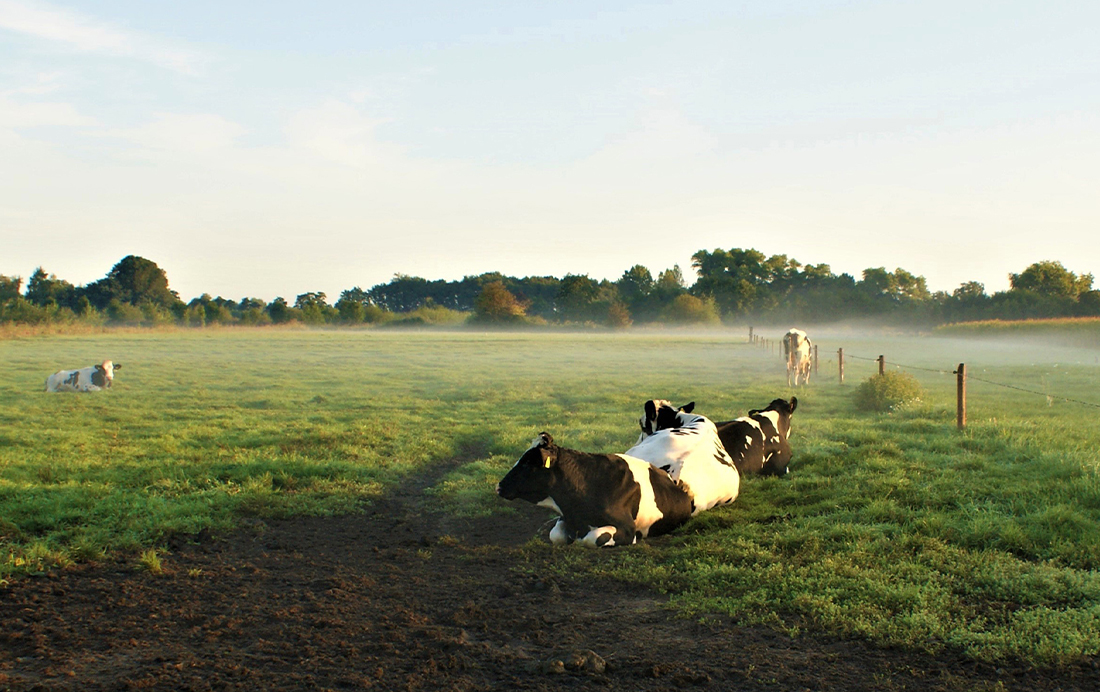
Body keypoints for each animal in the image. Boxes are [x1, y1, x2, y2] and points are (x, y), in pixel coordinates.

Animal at [497, 429, 690, 547]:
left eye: (527, 463)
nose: (499, 486)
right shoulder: (566, 516)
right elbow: (556, 535)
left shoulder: (628, 529)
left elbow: (592, 539)